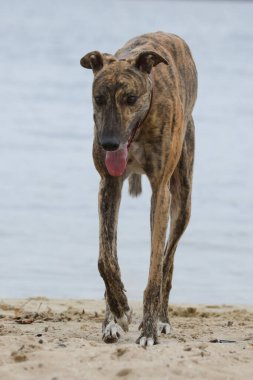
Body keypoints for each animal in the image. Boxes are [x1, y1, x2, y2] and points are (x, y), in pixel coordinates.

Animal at [80, 32, 197, 346]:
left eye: (130, 99)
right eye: (98, 99)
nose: (109, 144)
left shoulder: (161, 193)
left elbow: (155, 270)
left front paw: (149, 330)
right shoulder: (108, 186)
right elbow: (105, 258)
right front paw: (119, 309)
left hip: (182, 200)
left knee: (168, 262)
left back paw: (161, 319)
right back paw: (111, 321)